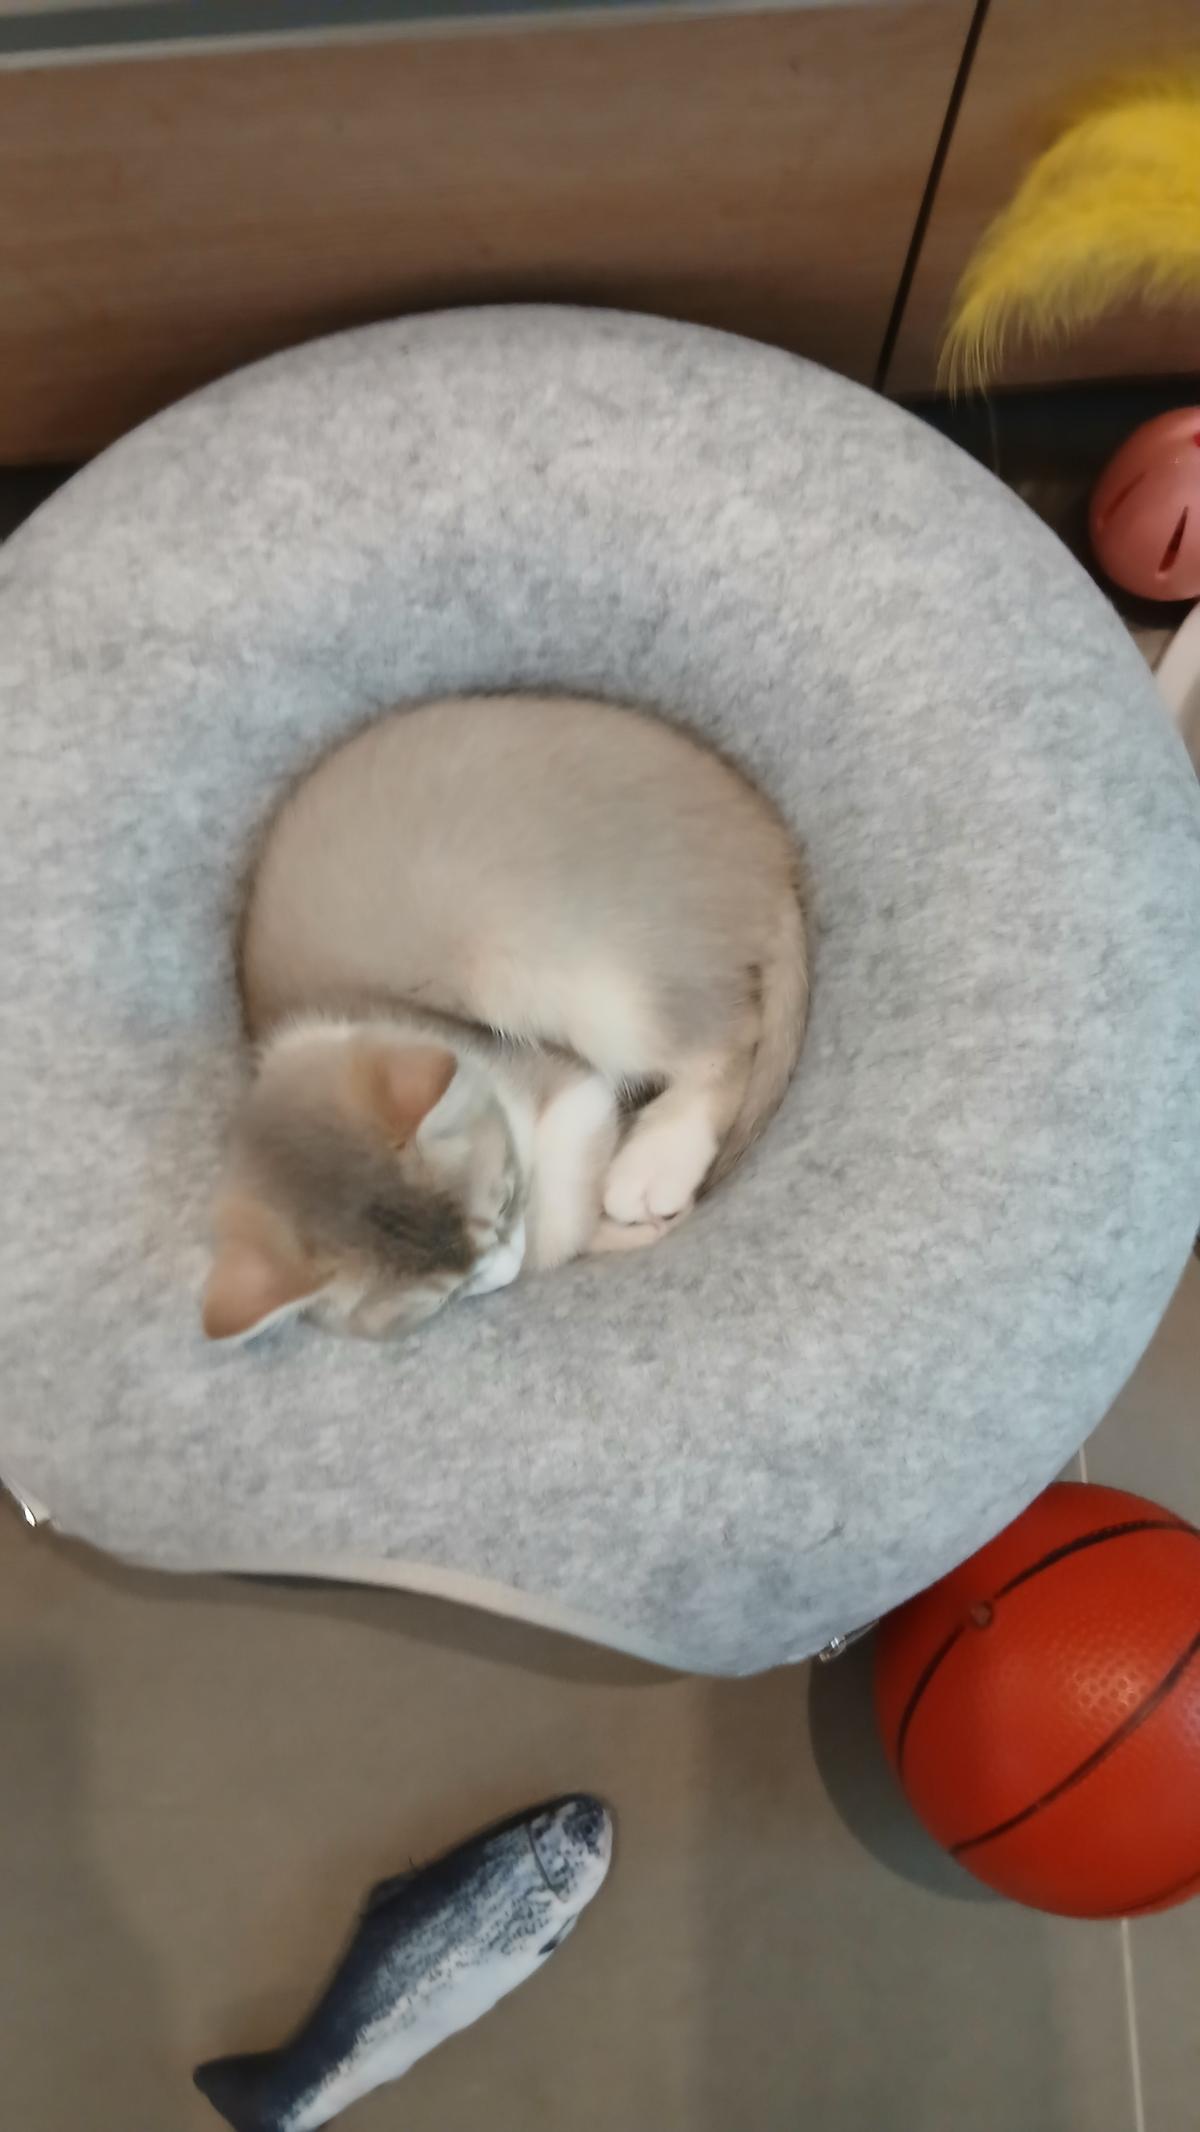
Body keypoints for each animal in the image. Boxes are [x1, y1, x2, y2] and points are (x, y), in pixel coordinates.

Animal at [202, 694, 808, 1343]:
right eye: (439, 1298)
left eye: (499, 1202)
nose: (500, 1271)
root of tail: (767, 841)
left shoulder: (567, 1084)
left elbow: (557, 1214)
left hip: (562, 978)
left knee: (729, 1040)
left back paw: (656, 1159)